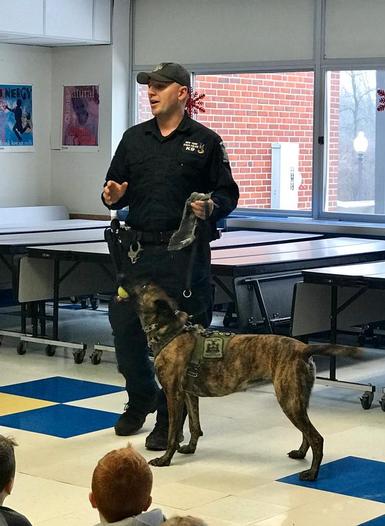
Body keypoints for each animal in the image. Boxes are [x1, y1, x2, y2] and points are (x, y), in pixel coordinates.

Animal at [117, 284, 360, 482]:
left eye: (143, 285)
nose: (121, 277)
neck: (171, 333)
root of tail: (304, 348)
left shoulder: (173, 395)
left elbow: (172, 433)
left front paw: (166, 459)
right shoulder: (189, 395)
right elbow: (195, 426)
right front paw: (190, 448)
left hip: (289, 400)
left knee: (316, 437)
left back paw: (312, 473)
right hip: (298, 400)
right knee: (307, 433)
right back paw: (300, 454)